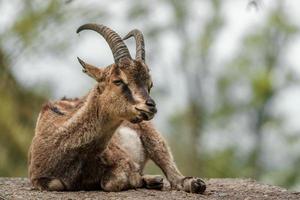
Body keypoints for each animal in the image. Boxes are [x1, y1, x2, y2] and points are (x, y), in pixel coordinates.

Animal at [28, 23, 206, 194]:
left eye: (150, 84)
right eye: (118, 81)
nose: (150, 106)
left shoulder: (123, 161)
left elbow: (111, 182)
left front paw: (138, 179)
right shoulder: (37, 177)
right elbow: (55, 184)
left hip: (154, 138)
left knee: (174, 175)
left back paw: (194, 184)